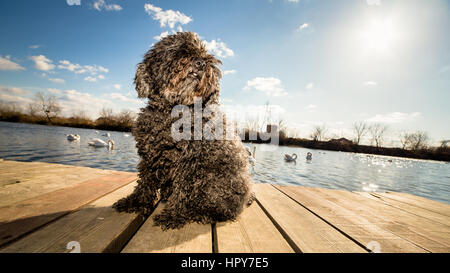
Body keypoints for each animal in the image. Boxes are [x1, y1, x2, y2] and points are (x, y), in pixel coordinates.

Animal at [112, 31, 253, 230]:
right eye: (178, 51)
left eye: (204, 55)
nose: (201, 62)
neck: (172, 113)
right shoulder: (150, 156)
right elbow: (145, 182)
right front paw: (135, 202)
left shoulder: (189, 163)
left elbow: (182, 192)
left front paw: (173, 215)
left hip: (214, 183)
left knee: (220, 211)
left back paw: (198, 213)